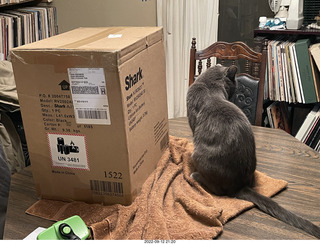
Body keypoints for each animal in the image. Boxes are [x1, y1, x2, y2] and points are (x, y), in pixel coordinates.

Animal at [186, 64, 320, 238]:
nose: (235, 93)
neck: (210, 84)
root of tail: (239, 186)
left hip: (200, 156)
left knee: (217, 190)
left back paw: (195, 176)